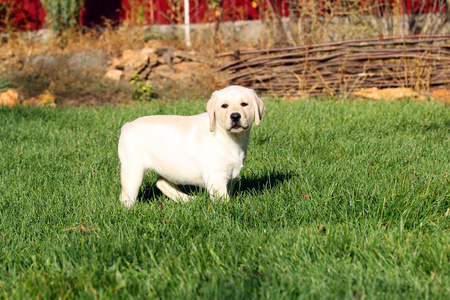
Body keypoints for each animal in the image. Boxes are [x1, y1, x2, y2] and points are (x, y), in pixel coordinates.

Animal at [118, 84, 266, 206]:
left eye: (244, 104)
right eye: (224, 106)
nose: (235, 116)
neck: (228, 137)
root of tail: (126, 125)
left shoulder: (232, 174)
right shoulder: (216, 176)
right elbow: (223, 199)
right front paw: (228, 209)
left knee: (161, 183)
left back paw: (188, 199)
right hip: (133, 169)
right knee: (126, 195)